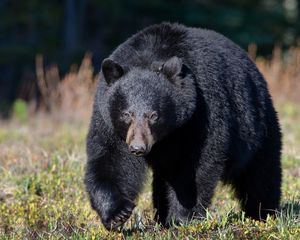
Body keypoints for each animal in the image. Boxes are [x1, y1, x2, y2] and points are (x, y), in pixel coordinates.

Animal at [84, 23, 282, 231]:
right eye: (126, 114)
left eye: (154, 115)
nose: (138, 148)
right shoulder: (108, 120)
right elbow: (111, 159)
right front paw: (117, 214)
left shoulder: (201, 112)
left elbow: (196, 165)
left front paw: (182, 218)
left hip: (257, 125)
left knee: (261, 172)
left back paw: (262, 213)